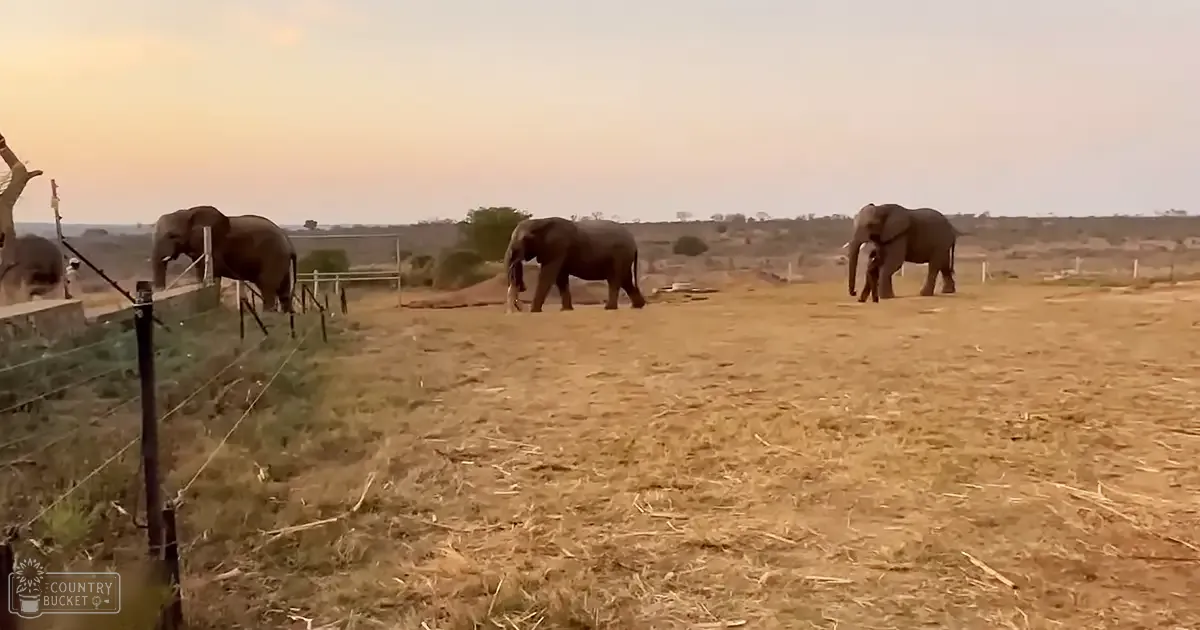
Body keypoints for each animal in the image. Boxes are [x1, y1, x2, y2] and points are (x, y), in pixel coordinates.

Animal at [152, 205, 297, 312]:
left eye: (173, 236)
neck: (187, 212)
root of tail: (289, 243)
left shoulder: (213, 244)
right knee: (283, 290)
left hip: (273, 256)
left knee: (267, 287)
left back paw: (267, 315)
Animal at [504, 217, 647, 313]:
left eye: (525, 239)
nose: (522, 287)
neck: (540, 222)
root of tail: (634, 243)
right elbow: (560, 278)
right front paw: (566, 310)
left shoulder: (558, 247)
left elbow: (548, 275)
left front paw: (534, 311)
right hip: (624, 257)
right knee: (626, 280)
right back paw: (638, 306)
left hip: (619, 255)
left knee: (615, 279)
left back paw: (609, 308)